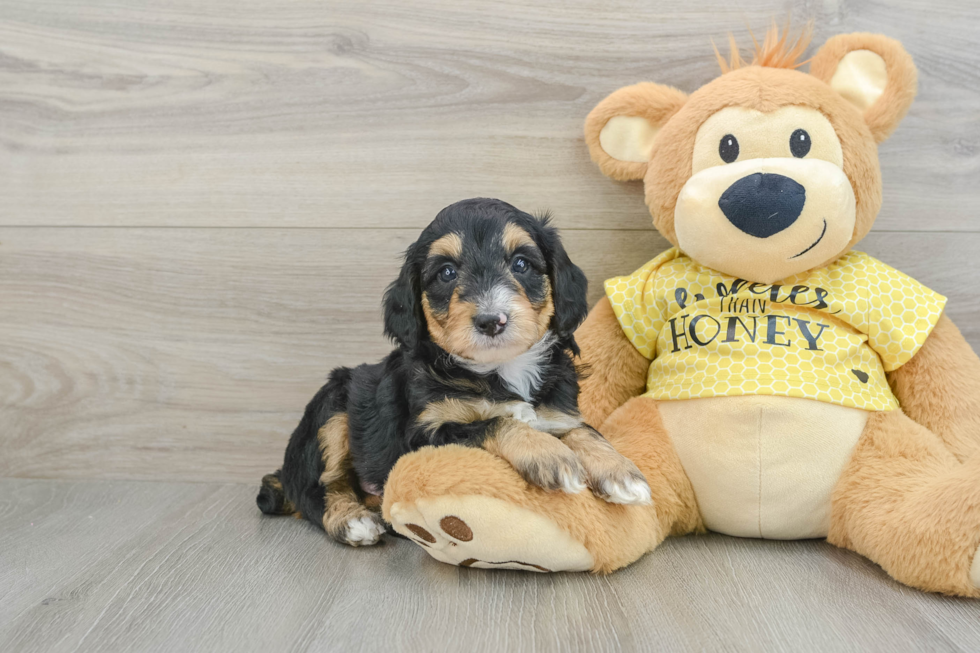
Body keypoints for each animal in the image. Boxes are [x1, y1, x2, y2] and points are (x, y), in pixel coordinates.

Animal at [256, 199, 652, 544]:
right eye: (447, 273)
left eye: (521, 264)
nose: (492, 321)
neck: (500, 371)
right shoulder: (424, 434)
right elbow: (495, 422)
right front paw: (550, 455)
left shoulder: (558, 412)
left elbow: (585, 431)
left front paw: (620, 471)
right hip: (331, 407)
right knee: (318, 488)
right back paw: (352, 521)